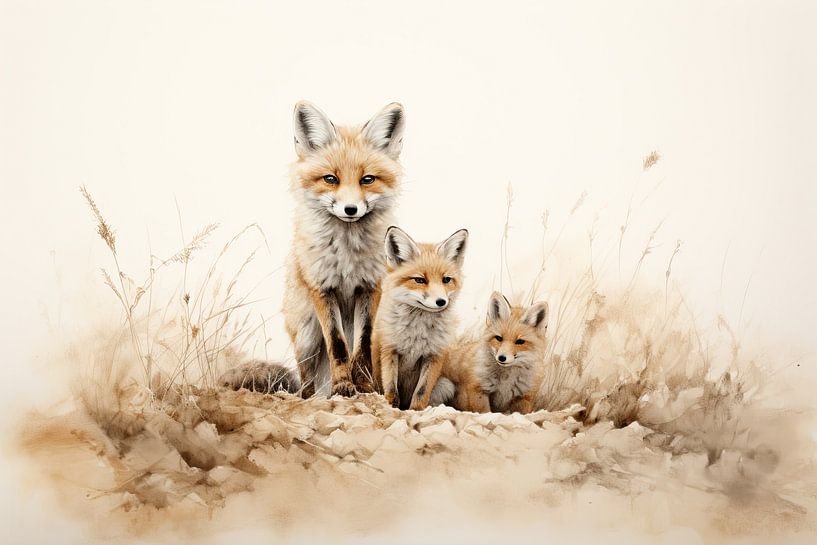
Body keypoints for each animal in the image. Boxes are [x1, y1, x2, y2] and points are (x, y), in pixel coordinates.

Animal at [283, 101, 406, 398]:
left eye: (367, 179)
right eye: (330, 179)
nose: (351, 209)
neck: (347, 256)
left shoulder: (370, 287)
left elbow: (361, 344)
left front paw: (364, 385)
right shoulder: (322, 287)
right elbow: (337, 344)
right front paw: (342, 386)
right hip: (306, 336)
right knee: (307, 380)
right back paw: (311, 395)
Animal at [372, 226, 468, 410]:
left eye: (446, 280)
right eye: (419, 280)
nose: (441, 302)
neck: (417, 333)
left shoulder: (434, 355)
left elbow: (422, 392)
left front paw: (415, 410)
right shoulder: (389, 349)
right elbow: (391, 389)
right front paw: (392, 407)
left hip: (446, 385)